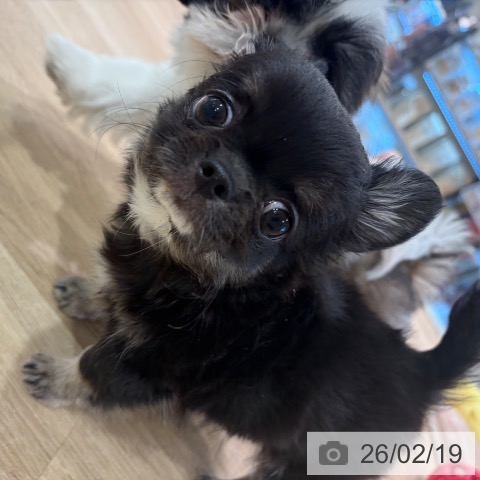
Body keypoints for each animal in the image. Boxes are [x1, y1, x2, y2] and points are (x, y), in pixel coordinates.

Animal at [24, 13, 480, 478]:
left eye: (277, 221)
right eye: (213, 108)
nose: (219, 173)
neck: (198, 278)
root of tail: (423, 374)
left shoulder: (147, 367)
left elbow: (93, 368)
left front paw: (55, 376)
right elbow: (112, 293)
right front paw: (88, 295)